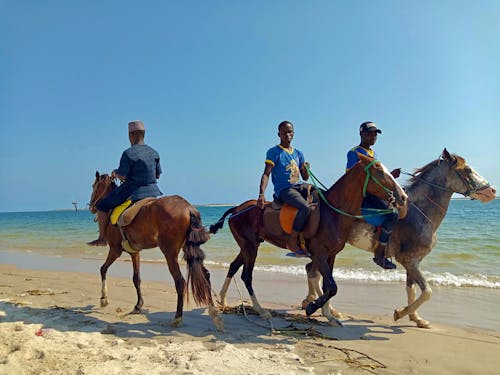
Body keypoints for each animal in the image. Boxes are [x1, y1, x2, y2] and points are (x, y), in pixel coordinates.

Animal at [88, 172, 223, 330]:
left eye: (94, 186)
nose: (91, 206)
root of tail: (188, 208)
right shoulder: (135, 252)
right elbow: (136, 278)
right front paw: (138, 305)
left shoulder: (115, 250)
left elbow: (103, 269)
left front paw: (104, 299)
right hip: (190, 249)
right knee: (205, 275)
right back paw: (214, 313)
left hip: (169, 253)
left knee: (180, 282)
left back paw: (177, 317)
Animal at [209, 154, 408, 328]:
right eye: (379, 170)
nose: (403, 196)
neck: (332, 213)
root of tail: (236, 210)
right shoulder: (319, 255)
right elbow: (332, 287)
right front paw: (313, 308)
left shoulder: (331, 256)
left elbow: (328, 285)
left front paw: (329, 315)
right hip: (251, 247)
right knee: (246, 275)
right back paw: (260, 310)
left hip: (248, 245)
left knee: (234, 266)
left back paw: (223, 300)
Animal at [304, 150, 496, 328]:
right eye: (468, 170)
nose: (492, 191)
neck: (419, 212)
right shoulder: (408, 259)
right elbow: (427, 291)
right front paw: (400, 313)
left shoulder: (415, 260)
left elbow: (411, 289)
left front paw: (416, 318)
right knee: (315, 274)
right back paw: (322, 307)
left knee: (312, 272)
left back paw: (316, 303)